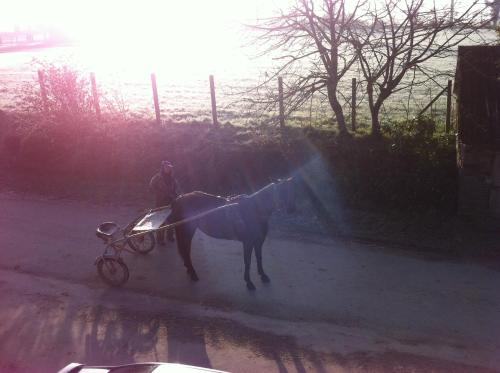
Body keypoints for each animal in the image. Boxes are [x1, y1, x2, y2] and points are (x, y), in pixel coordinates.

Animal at [164, 178, 296, 290]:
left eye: (293, 190)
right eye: (283, 191)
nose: (292, 209)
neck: (254, 209)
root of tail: (178, 200)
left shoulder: (259, 241)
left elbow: (259, 257)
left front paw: (263, 275)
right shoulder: (248, 242)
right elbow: (247, 261)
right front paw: (249, 282)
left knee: (185, 251)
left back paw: (189, 270)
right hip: (187, 231)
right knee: (186, 251)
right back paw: (193, 273)